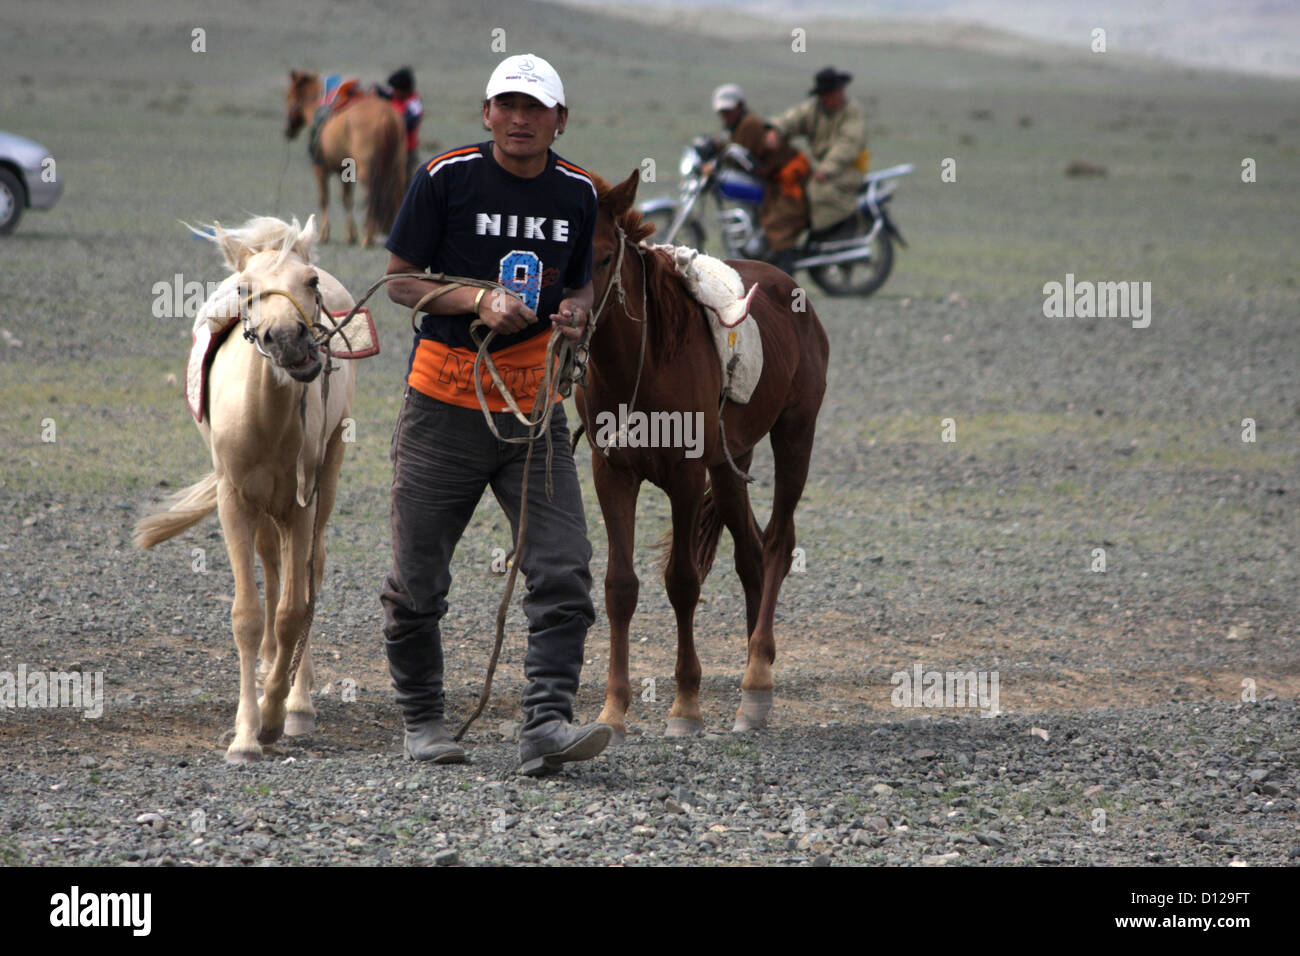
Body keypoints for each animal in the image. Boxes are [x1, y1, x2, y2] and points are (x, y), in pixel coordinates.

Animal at [136, 217, 358, 764]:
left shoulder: (302, 505)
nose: (289, 340)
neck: (267, 421)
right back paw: (270, 666)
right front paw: (245, 733)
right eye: (246, 290)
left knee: (308, 574)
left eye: (310, 282)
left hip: (323, 485)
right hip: (262, 510)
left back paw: (298, 696)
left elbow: (293, 610)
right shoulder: (235, 504)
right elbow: (249, 616)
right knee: (272, 565)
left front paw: (278, 715)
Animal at [284, 71, 405, 251]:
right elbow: (347, 200)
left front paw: (323, 235)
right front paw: (350, 236)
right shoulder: (345, 173)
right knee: (397, 196)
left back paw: (368, 237)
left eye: (289, 96)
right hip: (396, 168)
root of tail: (387, 116)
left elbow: (324, 199)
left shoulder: (320, 169)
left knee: (372, 197)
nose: (288, 131)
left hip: (368, 171)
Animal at [582, 170, 826, 738]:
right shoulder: (612, 473)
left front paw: (685, 706)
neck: (641, 364)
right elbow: (619, 586)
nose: (567, 318)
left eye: (602, 257)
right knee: (752, 554)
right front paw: (613, 709)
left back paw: (756, 676)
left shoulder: (686, 476)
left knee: (778, 543)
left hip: (795, 433)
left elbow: (683, 581)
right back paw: (757, 682)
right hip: (730, 463)